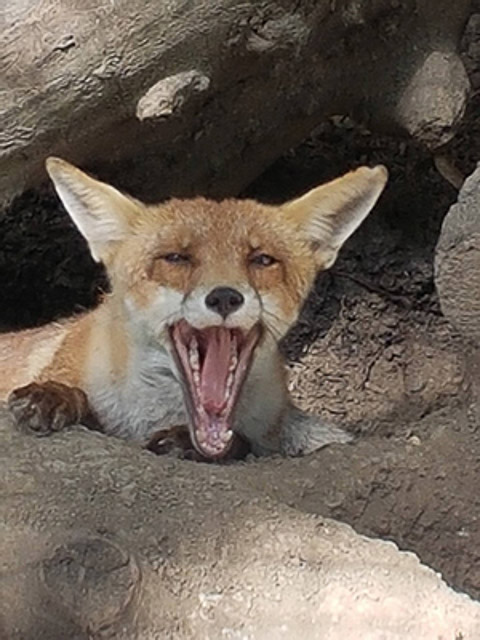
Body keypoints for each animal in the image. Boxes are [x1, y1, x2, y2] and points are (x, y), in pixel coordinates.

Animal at [1, 158, 388, 460]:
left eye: (262, 260)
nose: (225, 297)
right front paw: (54, 396)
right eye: (176, 258)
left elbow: (244, 443)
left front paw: (193, 443)